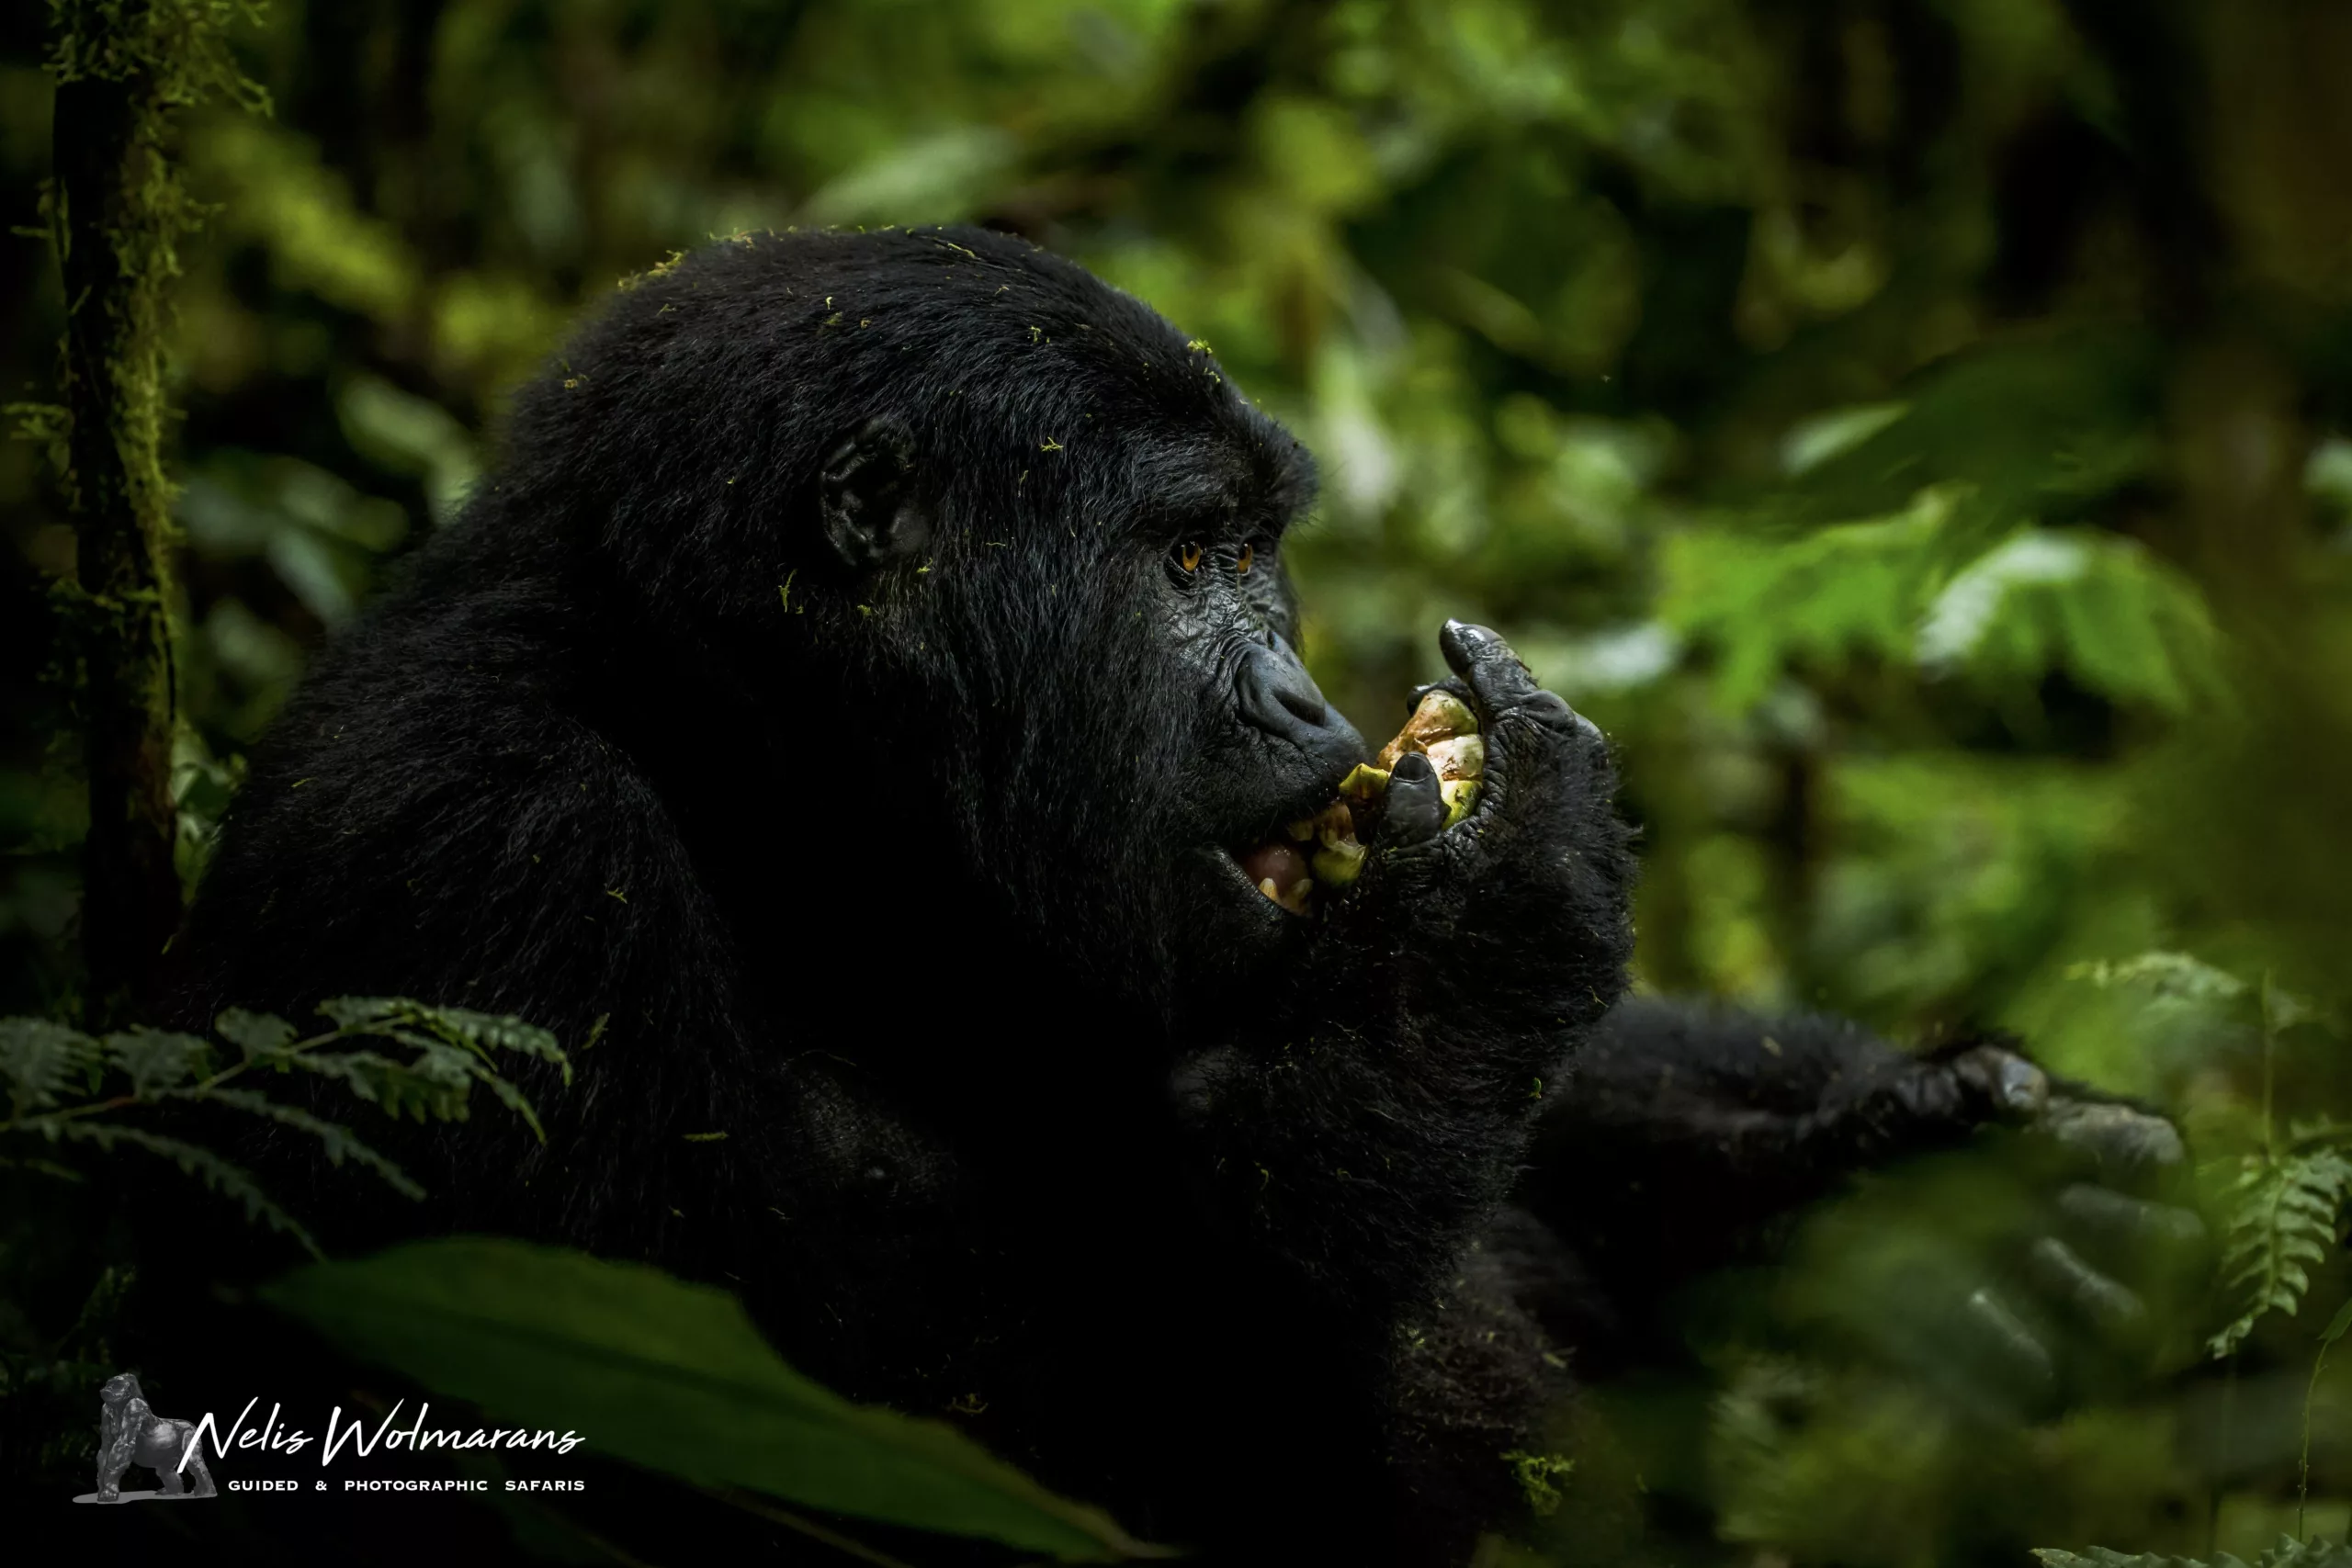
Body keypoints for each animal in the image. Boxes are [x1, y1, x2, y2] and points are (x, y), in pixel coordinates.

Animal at [174, 226, 2191, 1561]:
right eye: (1189, 558)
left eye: (1256, 556)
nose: (1301, 693)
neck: (771, 787)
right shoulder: (487, 854)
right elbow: (869, 1442)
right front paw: (1492, 930)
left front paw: (1948, 1181)